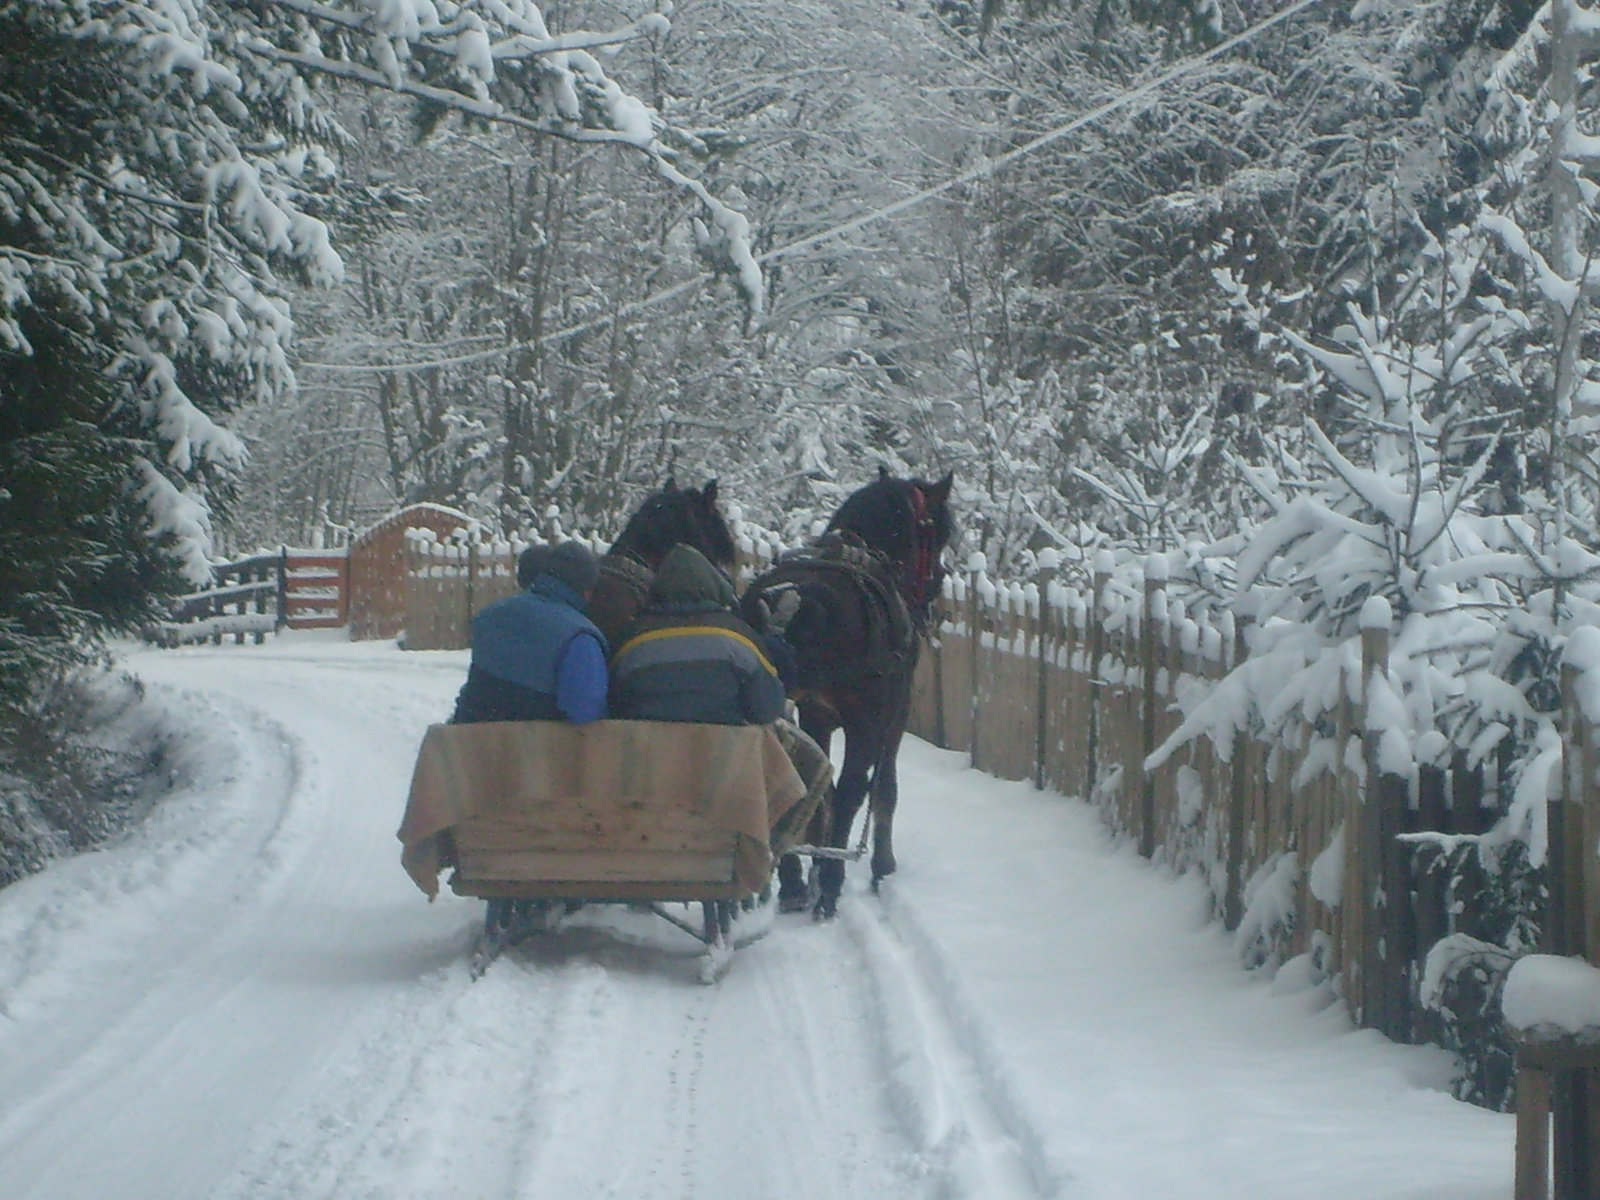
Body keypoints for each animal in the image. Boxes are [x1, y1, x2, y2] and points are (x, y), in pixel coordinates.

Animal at [742, 470, 953, 921]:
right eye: (940, 534)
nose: (934, 592)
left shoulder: (815, 714)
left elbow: (821, 786)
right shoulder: (890, 714)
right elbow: (878, 789)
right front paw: (878, 866)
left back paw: (792, 881)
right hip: (865, 719)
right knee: (855, 788)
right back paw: (827, 885)